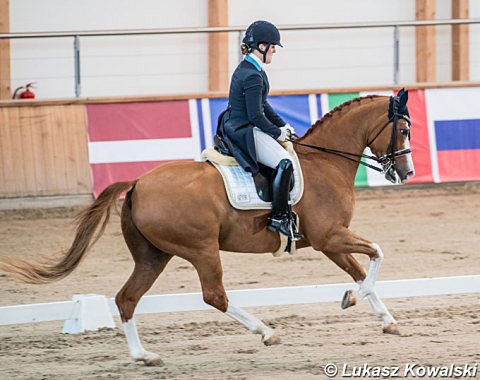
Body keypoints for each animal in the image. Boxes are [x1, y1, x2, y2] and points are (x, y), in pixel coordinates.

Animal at [0, 91, 412, 366]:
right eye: (404, 130)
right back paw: (266, 332)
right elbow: (377, 253)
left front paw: (385, 319)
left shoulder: (328, 241)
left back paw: (143, 355)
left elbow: (360, 269)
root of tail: (137, 183)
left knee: (127, 298)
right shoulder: (330, 236)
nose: (406, 173)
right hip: (201, 249)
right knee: (214, 295)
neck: (324, 163)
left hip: (154, 256)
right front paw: (352, 299)